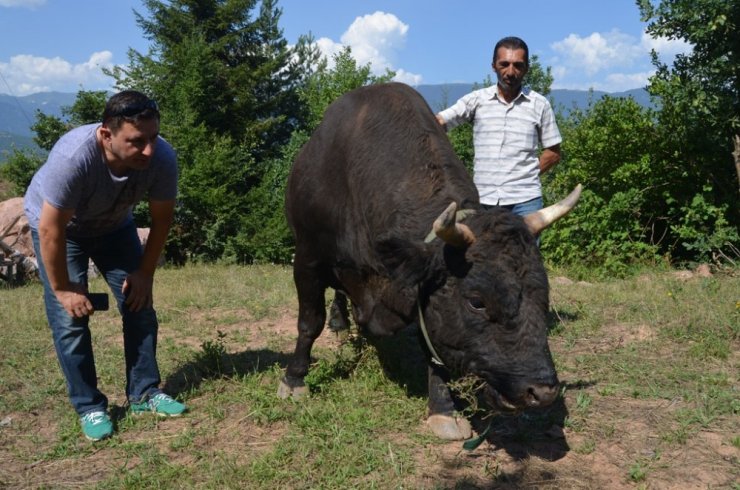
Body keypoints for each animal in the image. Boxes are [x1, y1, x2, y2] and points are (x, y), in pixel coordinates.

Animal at [274, 81, 580, 440]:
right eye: (477, 301)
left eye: (543, 295)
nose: (541, 391)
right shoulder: (307, 258)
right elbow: (310, 322)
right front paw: (294, 378)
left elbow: (432, 345)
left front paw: (443, 408)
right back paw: (340, 323)